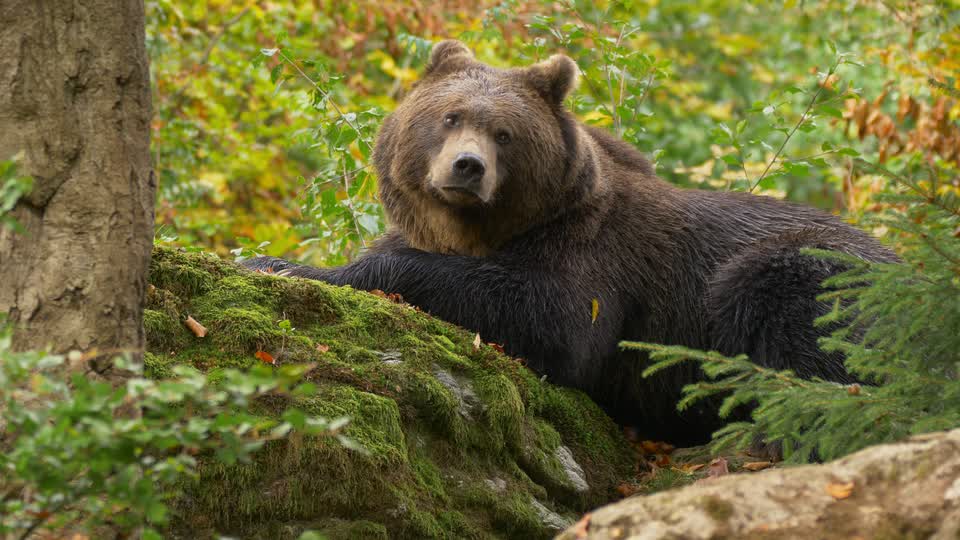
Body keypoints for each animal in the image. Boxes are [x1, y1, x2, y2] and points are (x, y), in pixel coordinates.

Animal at [245, 41, 897, 444]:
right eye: (451, 117)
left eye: (503, 133)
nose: (466, 167)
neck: (484, 229)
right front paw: (274, 257)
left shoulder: (598, 258)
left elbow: (554, 321)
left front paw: (295, 267)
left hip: (814, 270)